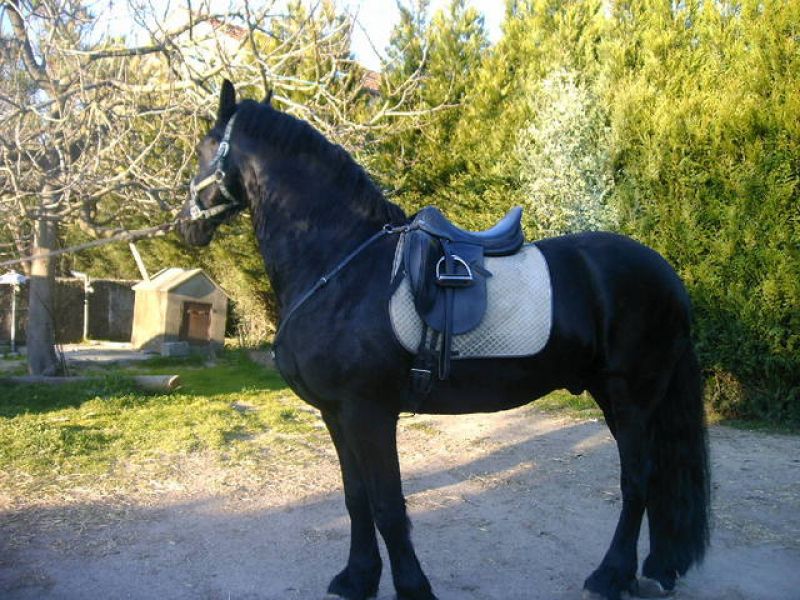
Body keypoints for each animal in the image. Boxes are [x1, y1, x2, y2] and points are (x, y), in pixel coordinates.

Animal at [179, 80, 710, 600]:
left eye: (205, 149)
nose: (186, 225)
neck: (341, 265)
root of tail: (666, 274)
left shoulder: (368, 412)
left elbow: (388, 505)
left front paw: (413, 587)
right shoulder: (336, 414)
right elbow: (356, 499)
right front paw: (357, 578)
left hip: (631, 396)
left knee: (637, 480)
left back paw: (611, 575)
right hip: (617, 397)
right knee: (654, 479)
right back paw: (656, 570)